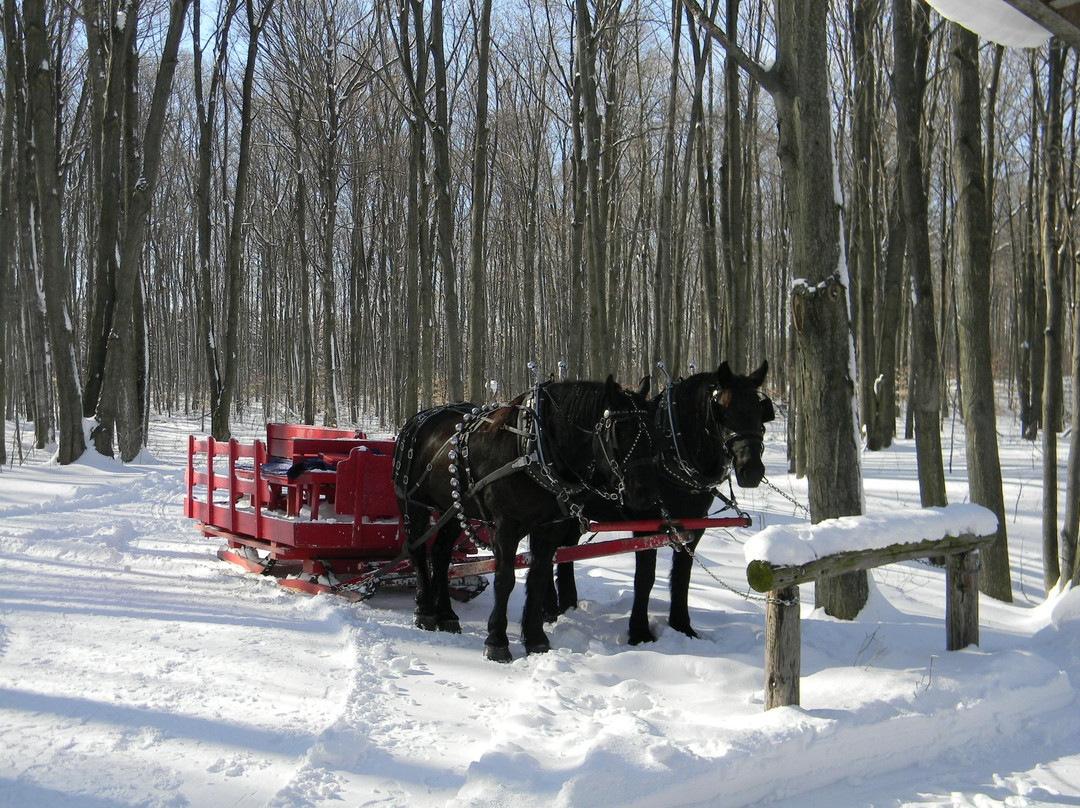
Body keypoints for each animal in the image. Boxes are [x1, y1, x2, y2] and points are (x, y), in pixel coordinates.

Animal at [393, 376, 659, 662]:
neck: (536, 448)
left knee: (441, 555)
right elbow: (505, 580)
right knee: (418, 552)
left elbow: (538, 578)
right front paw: (497, 642)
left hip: (451, 509)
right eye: (620, 432)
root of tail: (415, 421)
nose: (646, 493)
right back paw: (425, 611)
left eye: (653, 432)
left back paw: (446, 614)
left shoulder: (549, 528)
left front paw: (536, 639)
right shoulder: (506, 526)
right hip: (414, 505)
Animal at [542, 361, 774, 644]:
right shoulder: (647, 526)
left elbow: (682, 575)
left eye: (760, 411)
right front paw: (639, 632)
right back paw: (549, 609)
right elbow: (645, 578)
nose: (751, 470)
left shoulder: (693, 527)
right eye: (725, 411)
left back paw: (567, 605)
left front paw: (683, 627)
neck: (673, 450)